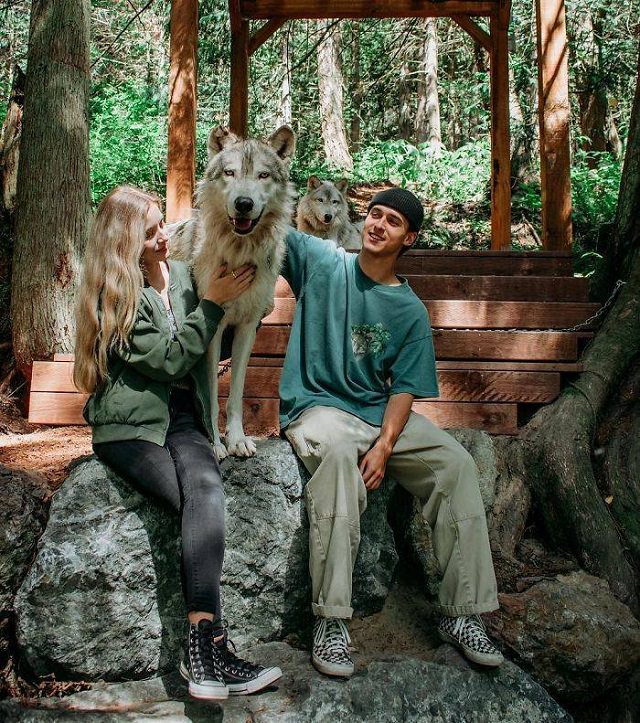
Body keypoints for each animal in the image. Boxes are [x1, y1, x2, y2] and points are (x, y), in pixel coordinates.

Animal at [169, 126, 296, 458]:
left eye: (263, 175)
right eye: (230, 173)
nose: (243, 203)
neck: (239, 253)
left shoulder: (247, 327)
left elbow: (236, 393)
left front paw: (237, 439)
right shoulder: (213, 328)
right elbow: (212, 396)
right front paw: (215, 443)